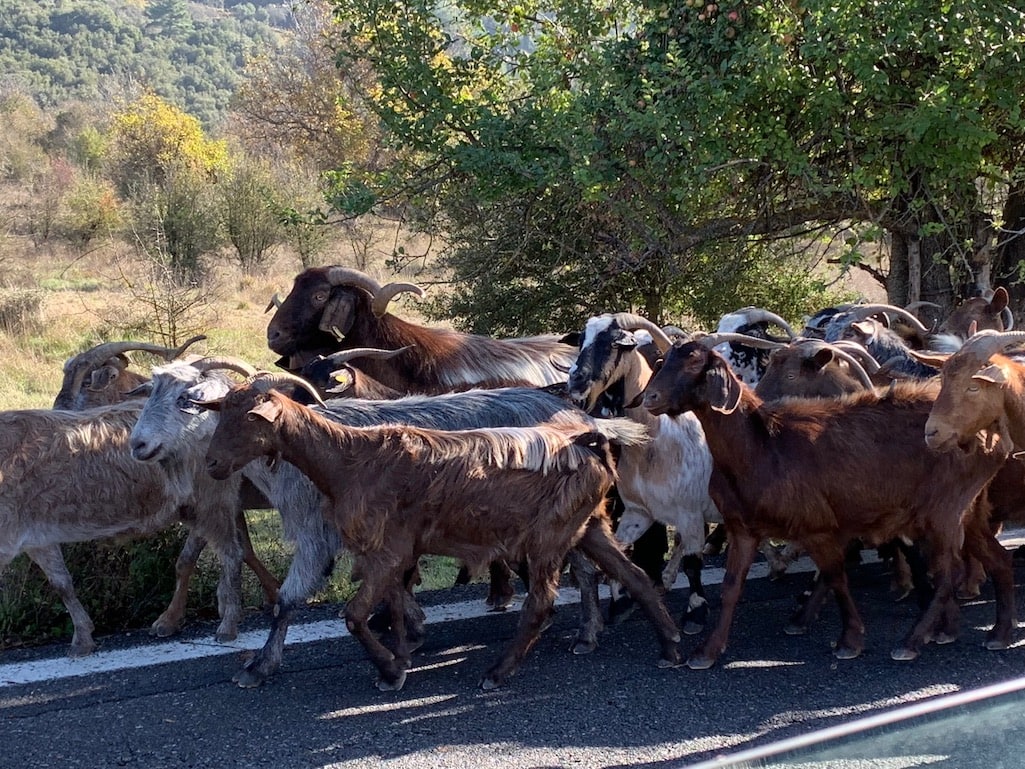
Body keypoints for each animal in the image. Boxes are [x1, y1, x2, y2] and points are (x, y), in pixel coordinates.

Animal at [0, 399, 247, 660]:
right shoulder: (36, 537)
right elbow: (62, 583)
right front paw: (83, 637)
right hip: (194, 505)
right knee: (195, 552)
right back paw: (177, 617)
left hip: (213, 496)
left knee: (231, 553)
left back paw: (228, 623)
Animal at [639, 340, 1008, 672]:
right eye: (662, 361)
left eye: (693, 364)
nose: (649, 398)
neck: (761, 446)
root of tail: (993, 436)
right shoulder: (742, 528)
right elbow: (731, 588)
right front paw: (707, 650)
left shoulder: (816, 527)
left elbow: (836, 578)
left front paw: (850, 640)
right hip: (967, 509)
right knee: (997, 559)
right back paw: (992, 632)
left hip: (943, 509)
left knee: (949, 573)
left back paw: (913, 640)